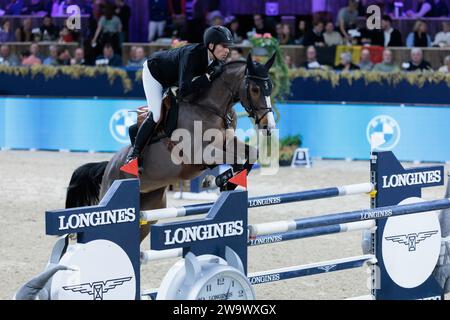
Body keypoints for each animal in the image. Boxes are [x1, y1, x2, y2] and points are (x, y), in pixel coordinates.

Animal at [65, 53, 278, 240]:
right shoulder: (198, 154)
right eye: (255, 89)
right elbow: (233, 161)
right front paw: (215, 180)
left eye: (270, 88)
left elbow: (251, 155)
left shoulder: (227, 141)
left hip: (150, 210)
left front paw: (226, 182)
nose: (268, 126)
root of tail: (109, 165)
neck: (209, 108)